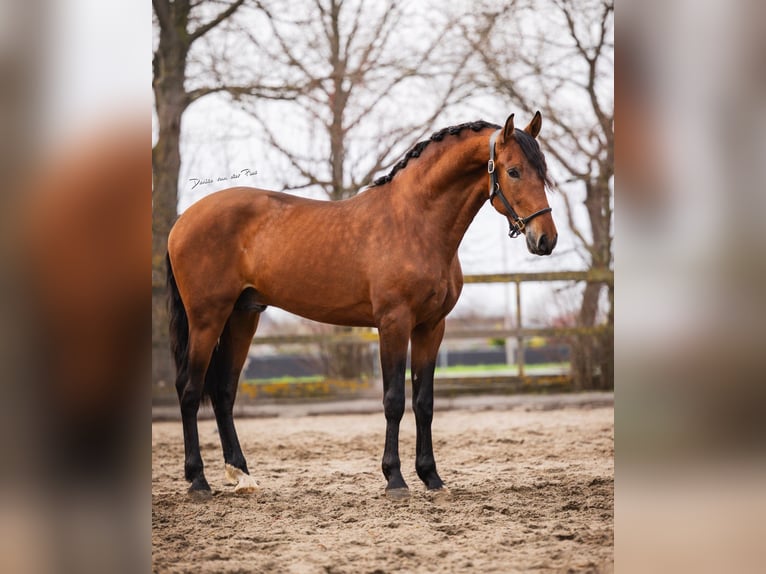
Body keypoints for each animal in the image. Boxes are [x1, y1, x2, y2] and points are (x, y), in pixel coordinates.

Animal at [166, 112, 558, 499]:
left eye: (543, 171)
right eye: (513, 171)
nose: (546, 239)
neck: (415, 221)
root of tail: (182, 221)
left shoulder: (431, 327)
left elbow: (424, 402)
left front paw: (431, 477)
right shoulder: (394, 323)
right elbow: (394, 400)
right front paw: (395, 479)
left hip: (242, 317)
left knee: (223, 392)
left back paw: (242, 475)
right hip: (207, 319)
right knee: (189, 390)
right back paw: (198, 481)